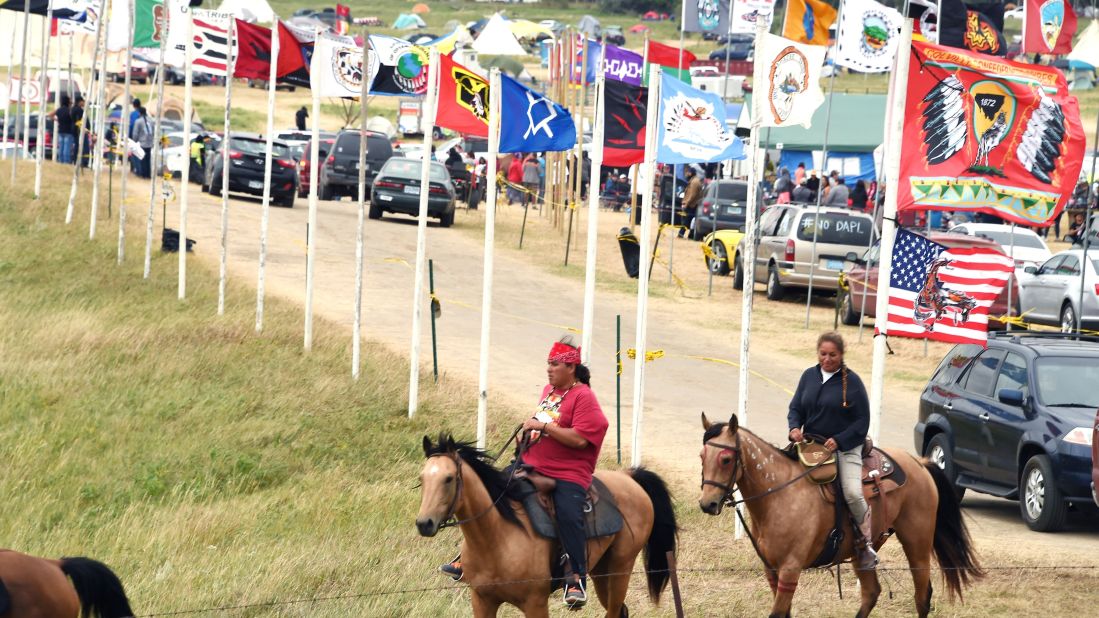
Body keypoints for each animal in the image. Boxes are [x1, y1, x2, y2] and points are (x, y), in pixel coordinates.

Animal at [413, 433, 676, 615]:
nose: (424, 523)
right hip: (602, 572)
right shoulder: (482, 600)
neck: (497, 538)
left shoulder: (535, 603)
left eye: (448, 479)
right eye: (422, 478)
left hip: (620, 569)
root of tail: (628, 476)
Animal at [698, 413, 984, 615]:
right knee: (872, 592)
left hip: (918, 542)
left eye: (726, 459)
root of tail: (920, 463)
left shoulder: (791, 569)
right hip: (862, 552)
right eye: (702, 455)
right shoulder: (772, 570)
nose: (707, 504)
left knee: (922, 596)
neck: (780, 494)